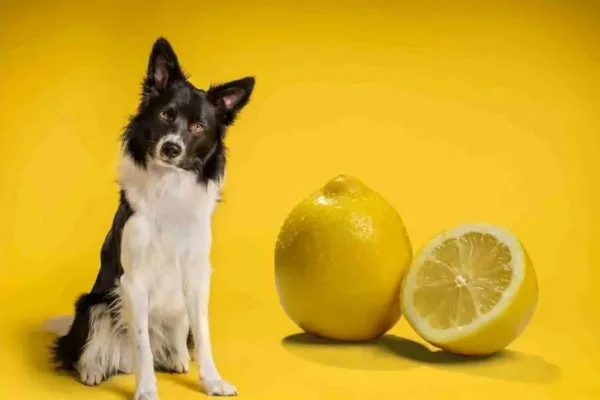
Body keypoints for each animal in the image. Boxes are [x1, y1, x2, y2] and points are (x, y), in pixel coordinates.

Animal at [44, 36, 255, 398]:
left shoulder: (196, 275)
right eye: (165, 114)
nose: (171, 148)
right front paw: (146, 390)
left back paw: (177, 357)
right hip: (93, 304)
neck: (169, 186)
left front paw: (211, 380)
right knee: (88, 346)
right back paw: (91, 369)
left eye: (198, 126)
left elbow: (203, 334)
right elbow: (141, 344)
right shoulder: (133, 280)